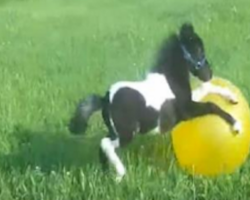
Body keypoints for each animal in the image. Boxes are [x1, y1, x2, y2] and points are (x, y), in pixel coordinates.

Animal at [67, 22, 241, 180]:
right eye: (198, 49)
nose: (208, 74)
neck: (170, 79)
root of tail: (105, 99)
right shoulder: (187, 110)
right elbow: (211, 105)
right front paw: (236, 125)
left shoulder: (190, 100)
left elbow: (208, 89)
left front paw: (232, 98)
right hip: (126, 134)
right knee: (105, 144)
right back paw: (120, 174)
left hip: (115, 131)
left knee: (102, 147)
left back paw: (106, 175)